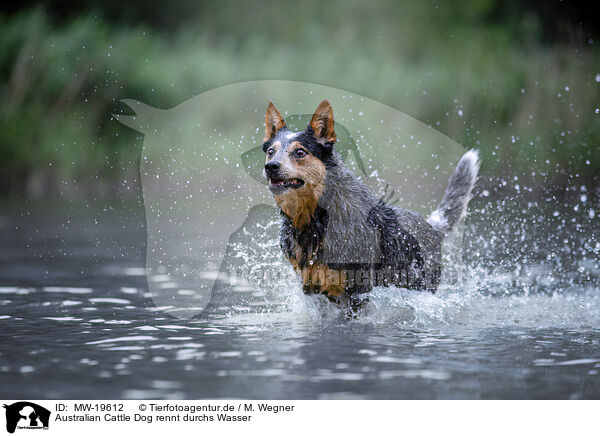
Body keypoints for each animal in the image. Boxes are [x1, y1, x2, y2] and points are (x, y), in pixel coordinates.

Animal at [262, 100, 478, 308]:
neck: (315, 221)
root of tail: (432, 225)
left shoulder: (356, 290)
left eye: (300, 152)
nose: (270, 166)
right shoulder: (312, 287)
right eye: (271, 151)